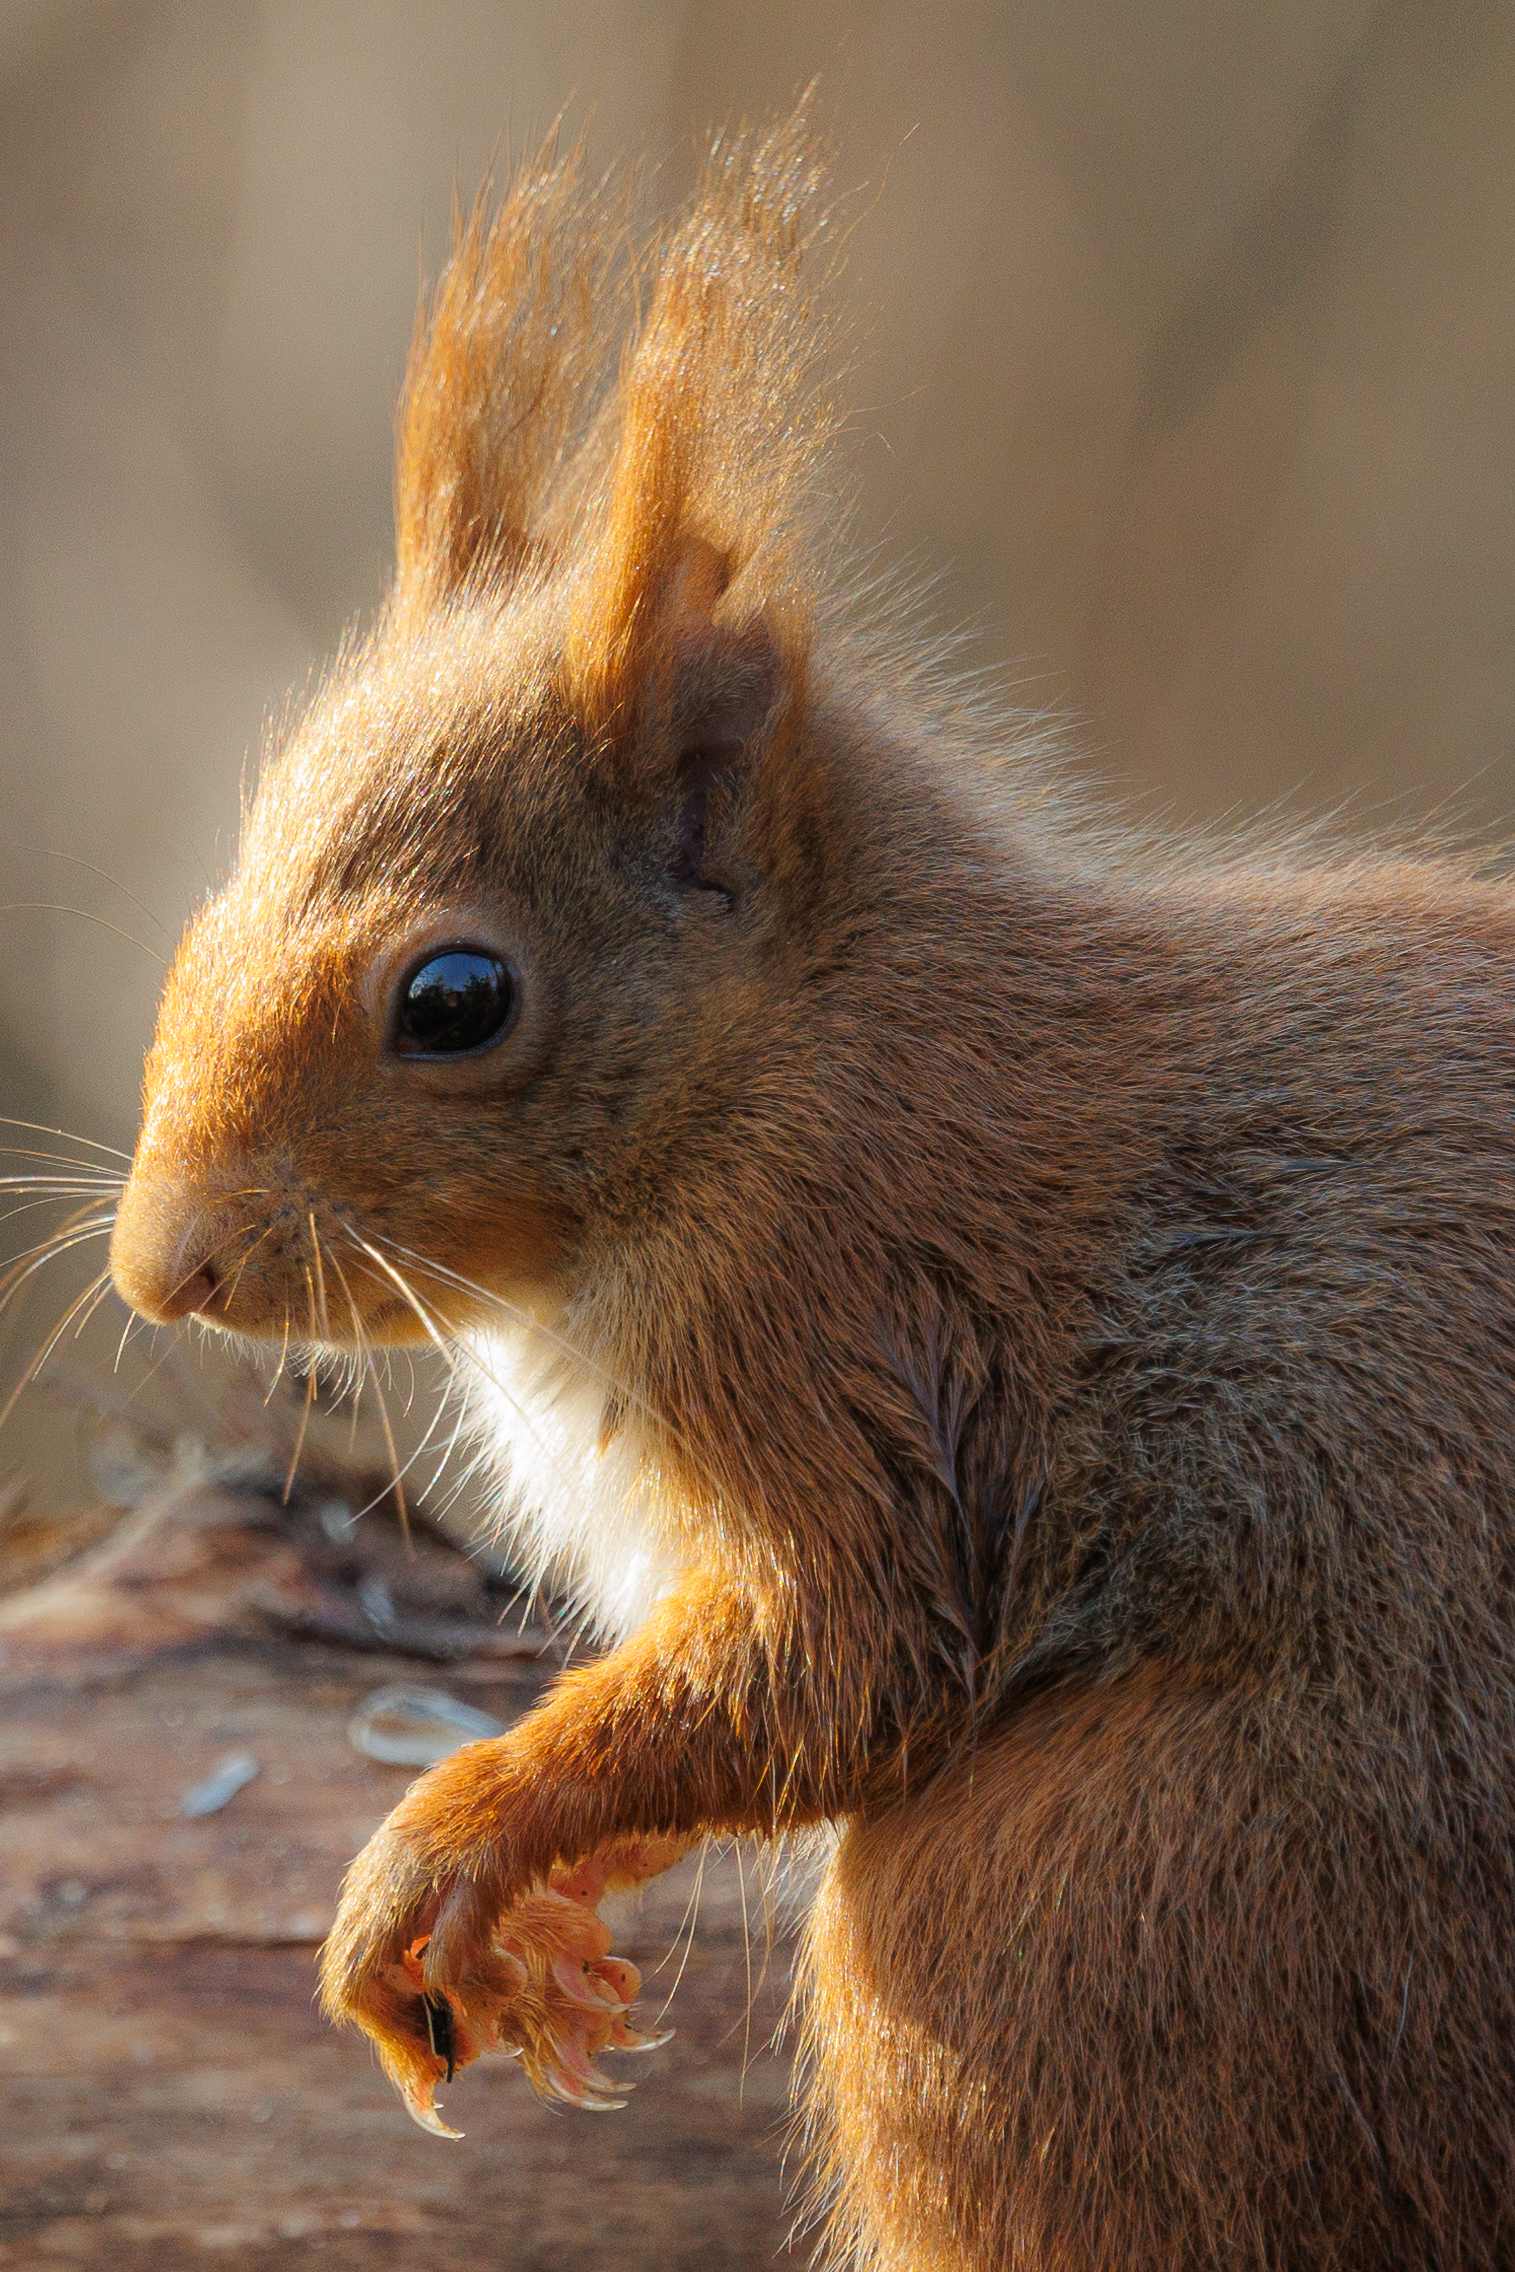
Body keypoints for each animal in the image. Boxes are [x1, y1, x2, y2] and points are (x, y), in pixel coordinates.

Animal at [107, 110, 1515, 2270]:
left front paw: (448, 1841)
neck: (777, 1061)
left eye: (455, 1000)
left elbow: (834, 1665)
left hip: (1088, 1933)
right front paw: (538, 1935)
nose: (156, 1265)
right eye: (224, 865)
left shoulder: (845, 1338)